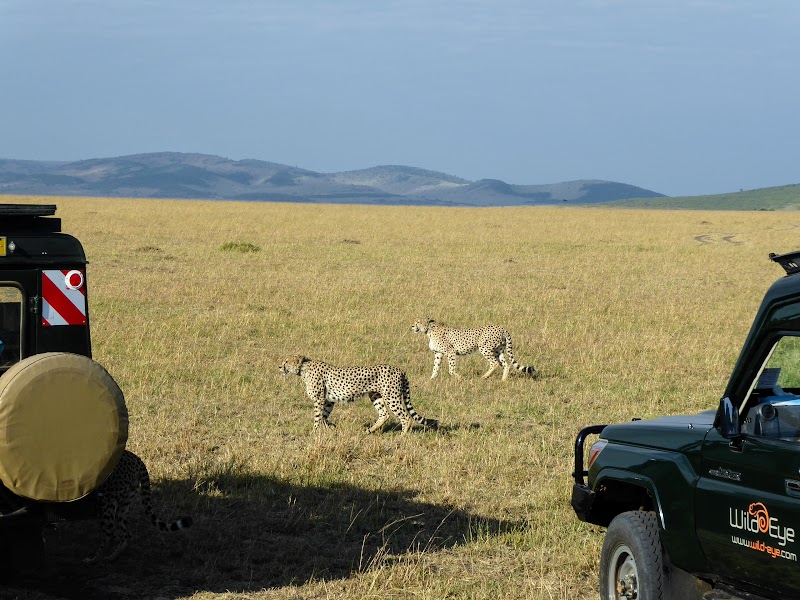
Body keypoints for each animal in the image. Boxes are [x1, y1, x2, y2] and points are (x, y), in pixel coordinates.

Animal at [282, 354, 440, 434]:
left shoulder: (319, 399)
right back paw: (369, 431)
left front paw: (315, 432)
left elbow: (317, 417)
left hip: (391, 397)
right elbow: (324, 417)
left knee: (406, 417)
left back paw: (402, 436)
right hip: (375, 396)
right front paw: (331, 426)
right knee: (384, 414)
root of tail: (400, 369)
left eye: (286, 362)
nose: (279, 366)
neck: (303, 368)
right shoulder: (328, 400)